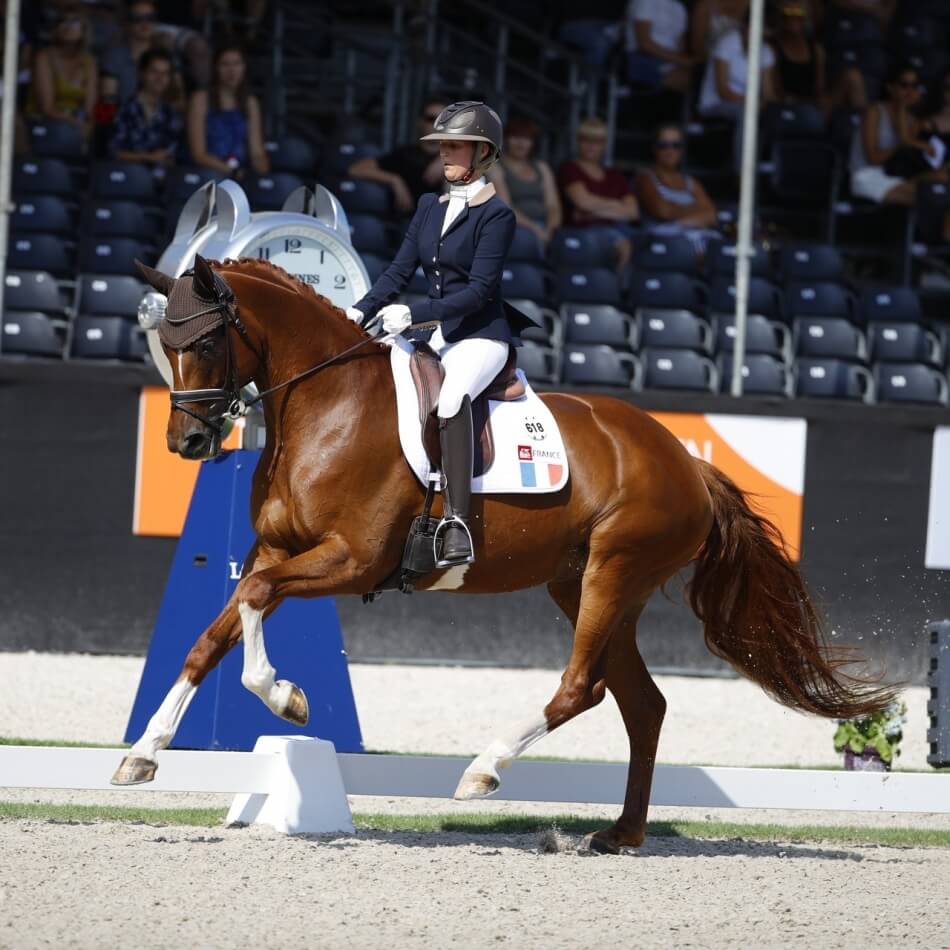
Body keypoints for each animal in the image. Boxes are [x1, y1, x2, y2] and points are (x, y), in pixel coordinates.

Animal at [114, 254, 895, 853]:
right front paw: (143, 755)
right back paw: (620, 834)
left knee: (584, 688)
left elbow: (252, 602)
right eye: (166, 344)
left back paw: (484, 770)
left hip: (613, 572)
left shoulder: (352, 558)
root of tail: (685, 460)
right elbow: (211, 635)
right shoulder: (276, 549)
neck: (326, 404)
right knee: (643, 704)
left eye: (205, 343)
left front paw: (289, 698)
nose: (187, 442)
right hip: (583, 585)